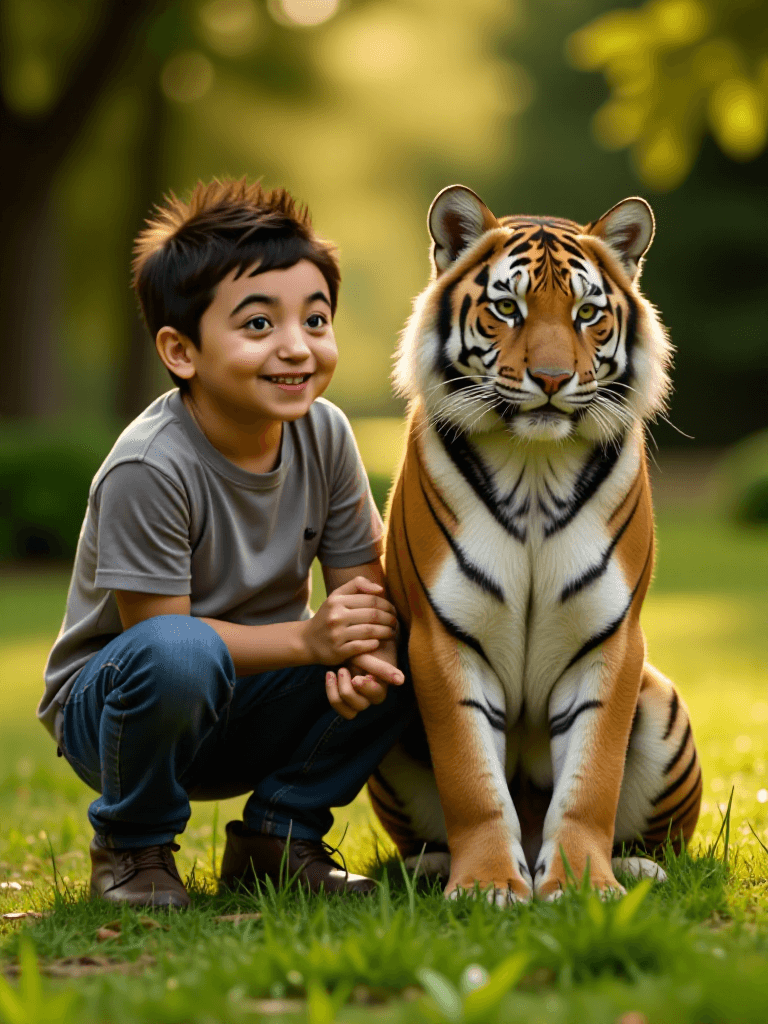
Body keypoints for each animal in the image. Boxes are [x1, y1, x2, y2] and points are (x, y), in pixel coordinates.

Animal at [369, 185, 701, 903]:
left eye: (586, 313)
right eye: (506, 308)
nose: (551, 379)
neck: (533, 471)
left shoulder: (609, 641)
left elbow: (589, 782)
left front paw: (583, 886)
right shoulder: (443, 639)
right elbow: (472, 781)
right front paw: (488, 886)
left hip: (660, 702)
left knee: (662, 843)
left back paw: (636, 868)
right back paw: (430, 868)